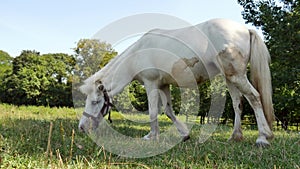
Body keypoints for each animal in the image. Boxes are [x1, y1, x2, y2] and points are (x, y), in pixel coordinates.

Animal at [79, 18, 274, 147]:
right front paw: (184, 134)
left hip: (237, 77)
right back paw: (235, 136)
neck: (136, 55)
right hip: (230, 78)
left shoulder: (151, 83)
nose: (81, 127)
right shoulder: (163, 85)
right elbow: (168, 110)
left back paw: (263, 137)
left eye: (95, 102)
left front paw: (151, 136)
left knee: (254, 98)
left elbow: (153, 111)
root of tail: (244, 29)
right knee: (237, 104)